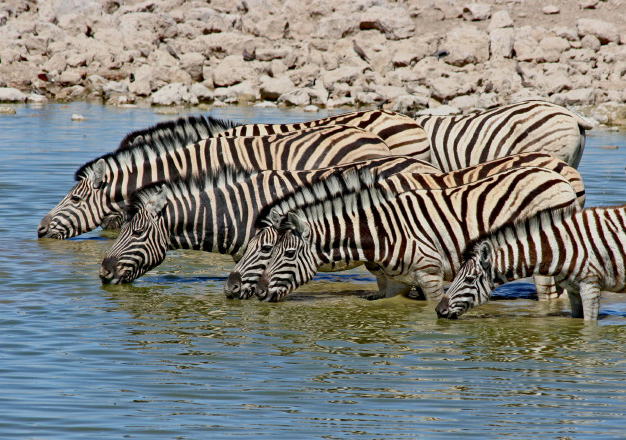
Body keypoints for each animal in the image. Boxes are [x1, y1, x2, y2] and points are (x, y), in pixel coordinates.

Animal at [225, 151, 584, 300]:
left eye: (273, 251)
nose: (233, 290)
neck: (375, 228)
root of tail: (558, 176)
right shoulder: (391, 281)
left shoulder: (430, 276)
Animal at [434, 205, 626, 322]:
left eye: (469, 279)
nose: (438, 311)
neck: (560, 246)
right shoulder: (573, 290)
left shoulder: (590, 286)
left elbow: (589, 324)